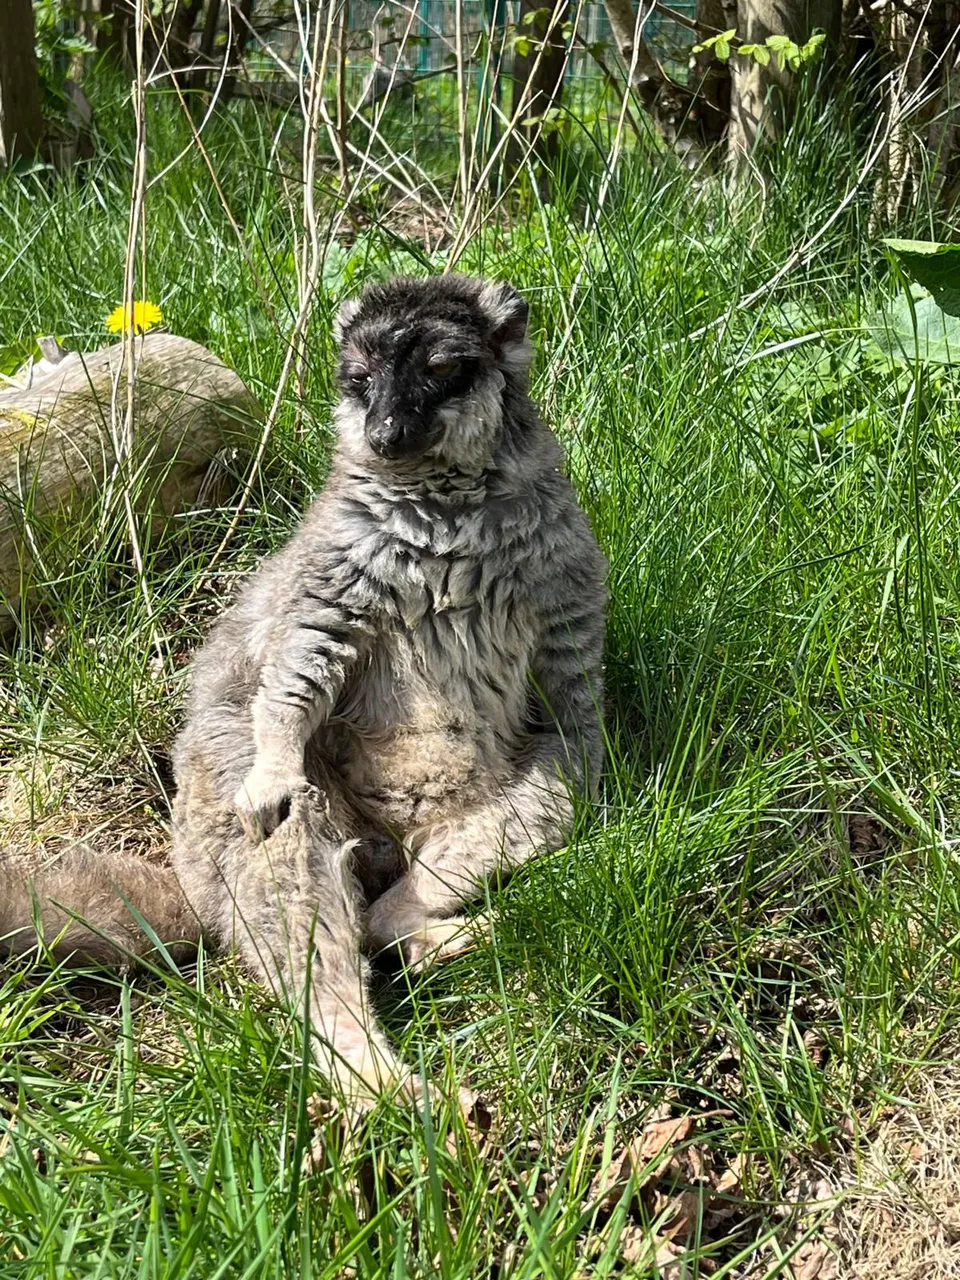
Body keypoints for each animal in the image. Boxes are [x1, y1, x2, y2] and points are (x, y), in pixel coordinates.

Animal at [0, 275, 607, 1107]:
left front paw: (592, 736)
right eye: (358, 380)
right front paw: (279, 752)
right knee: (289, 856)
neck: (445, 503)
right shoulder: (337, 561)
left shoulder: (560, 553)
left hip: (471, 816)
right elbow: (301, 656)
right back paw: (381, 1082)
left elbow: (574, 687)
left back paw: (414, 927)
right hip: (221, 795)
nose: (384, 433)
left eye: (443, 370)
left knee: (546, 796)